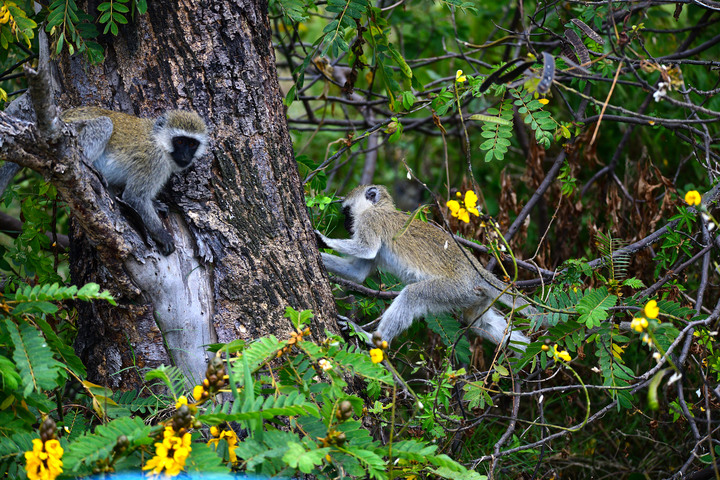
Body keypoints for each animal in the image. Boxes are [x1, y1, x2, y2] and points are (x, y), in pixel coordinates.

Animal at [61, 105, 208, 255]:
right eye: (179, 141)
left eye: (192, 144)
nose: (185, 156)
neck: (159, 142)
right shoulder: (154, 161)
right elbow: (134, 197)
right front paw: (162, 235)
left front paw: (155, 204)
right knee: (104, 124)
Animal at [316, 186, 540, 350]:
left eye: (347, 212)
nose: (346, 224)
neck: (379, 208)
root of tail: (478, 273)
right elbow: (356, 273)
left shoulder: (370, 221)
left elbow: (367, 249)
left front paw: (322, 239)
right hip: (475, 297)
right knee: (481, 324)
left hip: (454, 289)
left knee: (412, 295)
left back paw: (373, 339)